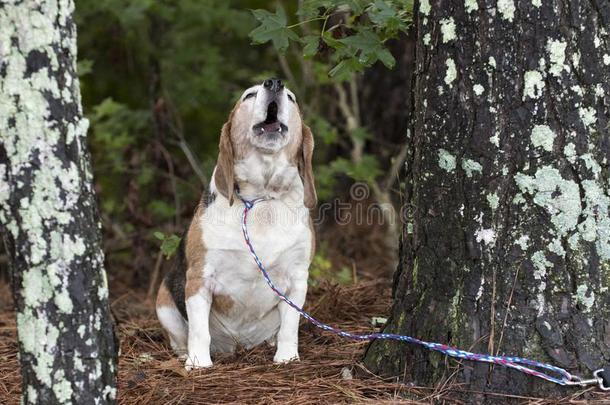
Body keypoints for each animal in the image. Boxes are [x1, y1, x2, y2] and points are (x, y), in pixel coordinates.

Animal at [157, 77, 316, 368]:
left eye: (291, 97)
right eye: (249, 95)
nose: (274, 82)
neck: (263, 198)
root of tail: (239, 346)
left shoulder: (298, 278)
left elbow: (290, 326)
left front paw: (287, 358)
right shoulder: (199, 277)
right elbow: (199, 330)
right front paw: (198, 363)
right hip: (163, 302)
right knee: (181, 335)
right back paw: (185, 353)